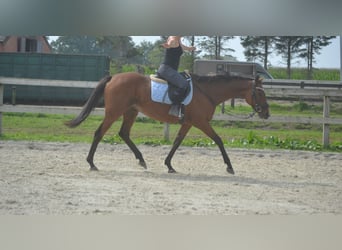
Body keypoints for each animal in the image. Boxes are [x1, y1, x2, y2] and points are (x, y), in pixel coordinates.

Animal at [65, 72, 270, 174]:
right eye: (260, 93)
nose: (267, 113)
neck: (206, 92)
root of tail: (113, 77)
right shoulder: (201, 122)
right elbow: (218, 140)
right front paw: (229, 166)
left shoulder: (188, 123)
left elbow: (177, 142)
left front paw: (169, 165)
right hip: (114, 112)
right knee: (99, 133)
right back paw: (91, 163)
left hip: (131, 111)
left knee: (124, 133)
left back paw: (141, 160)